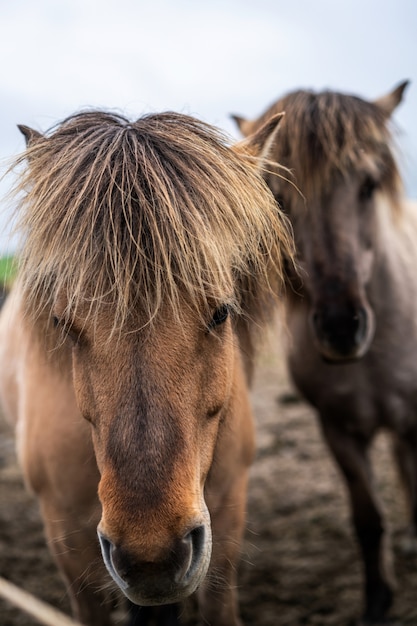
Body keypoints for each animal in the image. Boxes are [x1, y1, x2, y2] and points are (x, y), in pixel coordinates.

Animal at [232, 80, 412, 620]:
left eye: (369, 186)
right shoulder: (338, 431)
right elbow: (368, 518)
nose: (340, 327)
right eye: (280, 197)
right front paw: (377, 601)